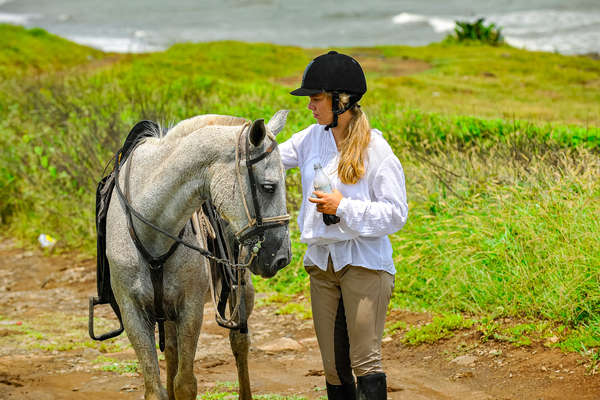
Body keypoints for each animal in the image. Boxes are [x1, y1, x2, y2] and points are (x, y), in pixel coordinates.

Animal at [105, 111, 292, 400]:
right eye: (268, 186)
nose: (282, 256)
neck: (151, 227)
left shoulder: (190, 309)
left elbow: (185, 384)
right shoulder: (132, 312)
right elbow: (154, 388)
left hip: (240, 288)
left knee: (239, 342)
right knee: (171, 351)